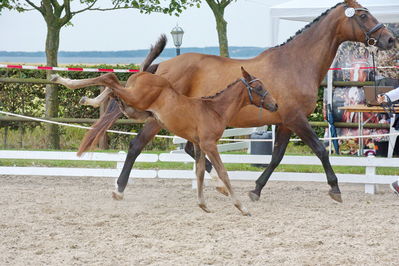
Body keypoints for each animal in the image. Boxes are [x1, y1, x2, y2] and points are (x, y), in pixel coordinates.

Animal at [50, 67, 278, 216]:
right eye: (258, 87)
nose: (275, 105)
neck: (215, 109)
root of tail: (142, 73)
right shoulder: (209, 144)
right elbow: (223, 172)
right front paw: (242, 207)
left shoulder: (198, 144)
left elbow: (200, 172)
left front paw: (203, 204)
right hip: (137, 100)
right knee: (110, 77)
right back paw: (64, 80)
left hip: (135, 108)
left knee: (114, 90)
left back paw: (86, 97)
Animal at [67, 0, 396, 202]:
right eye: (363, 14)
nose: (390, 39)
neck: (294, 63)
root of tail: (163, 66)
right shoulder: (295, 119)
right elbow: (320, 150)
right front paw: (335, 189)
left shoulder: (284, 121)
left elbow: (276, 158)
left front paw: (256, 190)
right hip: (158, 119)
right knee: (137, 146)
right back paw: (120, 189)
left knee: (189, 149)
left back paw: (219, 186)